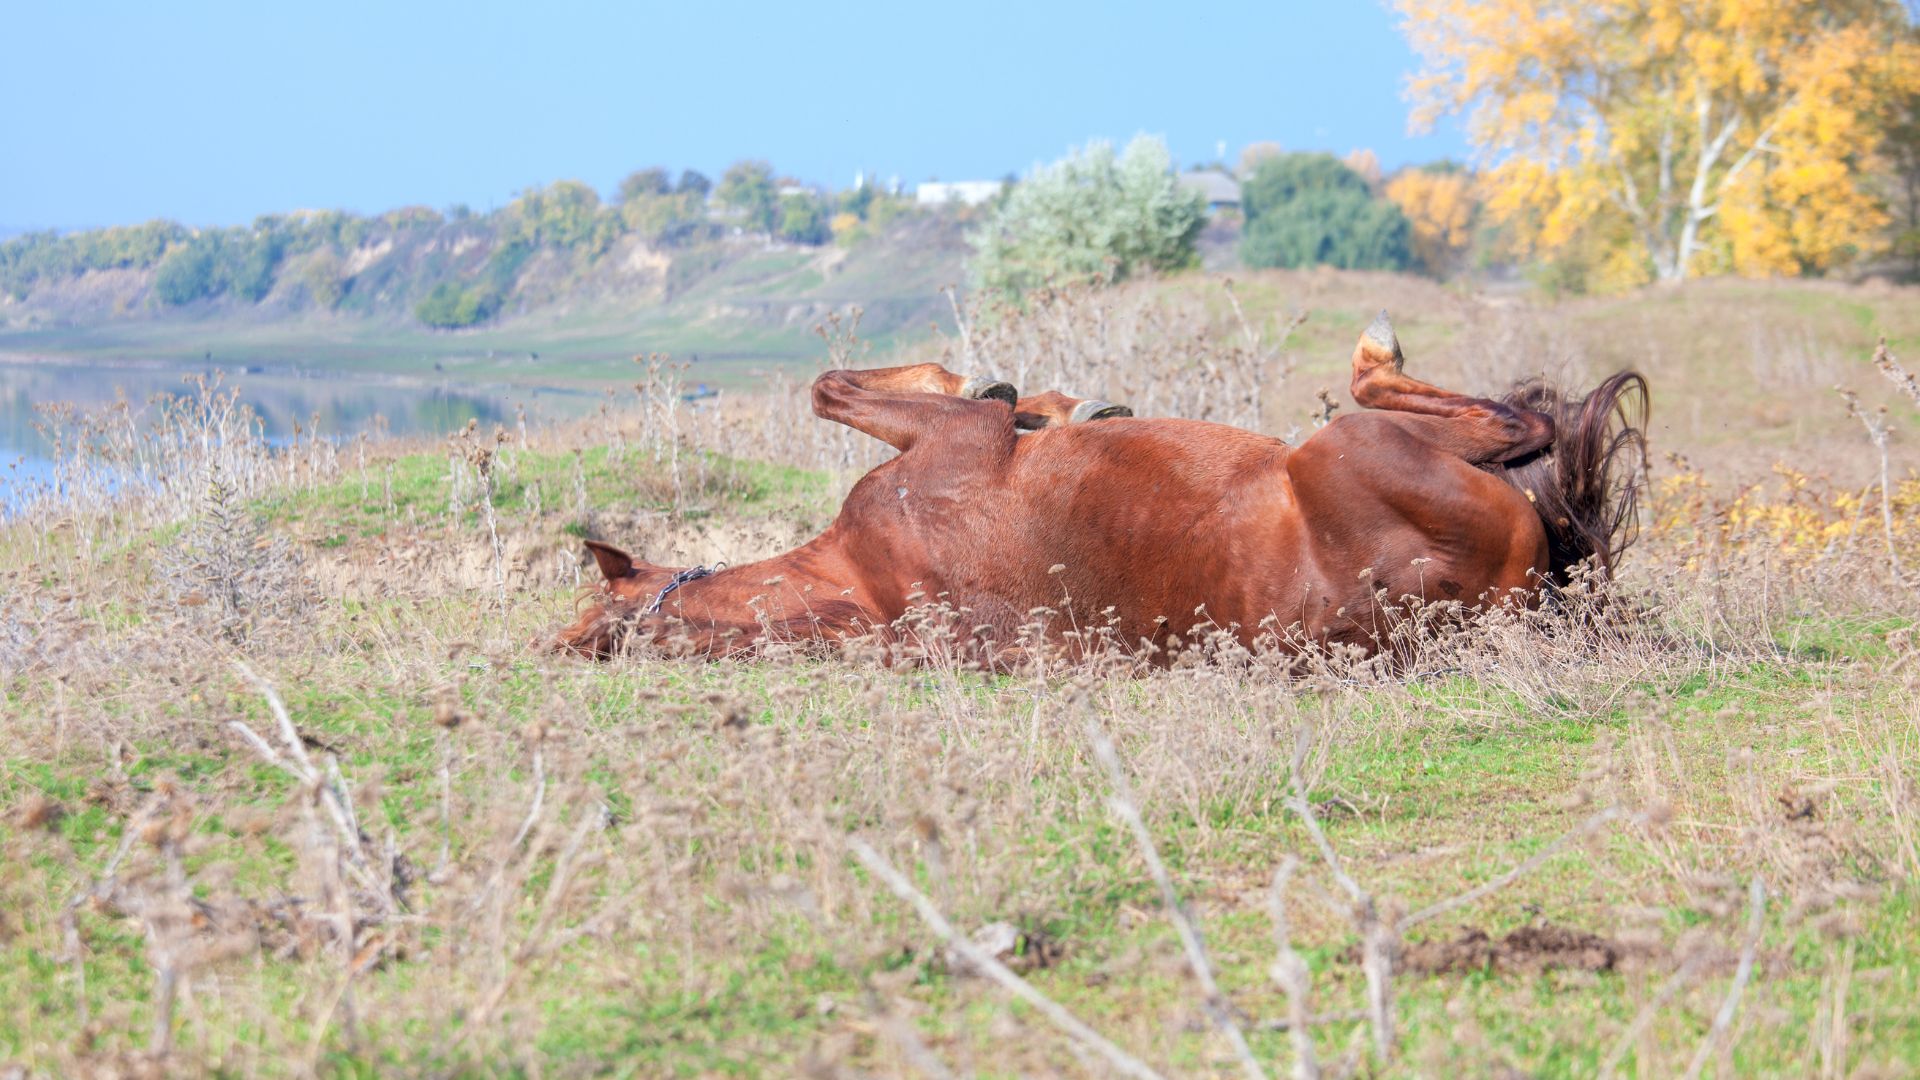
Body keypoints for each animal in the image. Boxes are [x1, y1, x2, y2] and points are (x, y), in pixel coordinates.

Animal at [549, 311, 1643, 661]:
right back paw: (1379, 353)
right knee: (1522, 424)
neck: (861, 582)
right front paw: (1021, 393)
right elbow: (840, 387)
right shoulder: (956, 443)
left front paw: (1060, 404)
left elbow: (845, 388)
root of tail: (1516, 596)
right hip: (1346, 444)